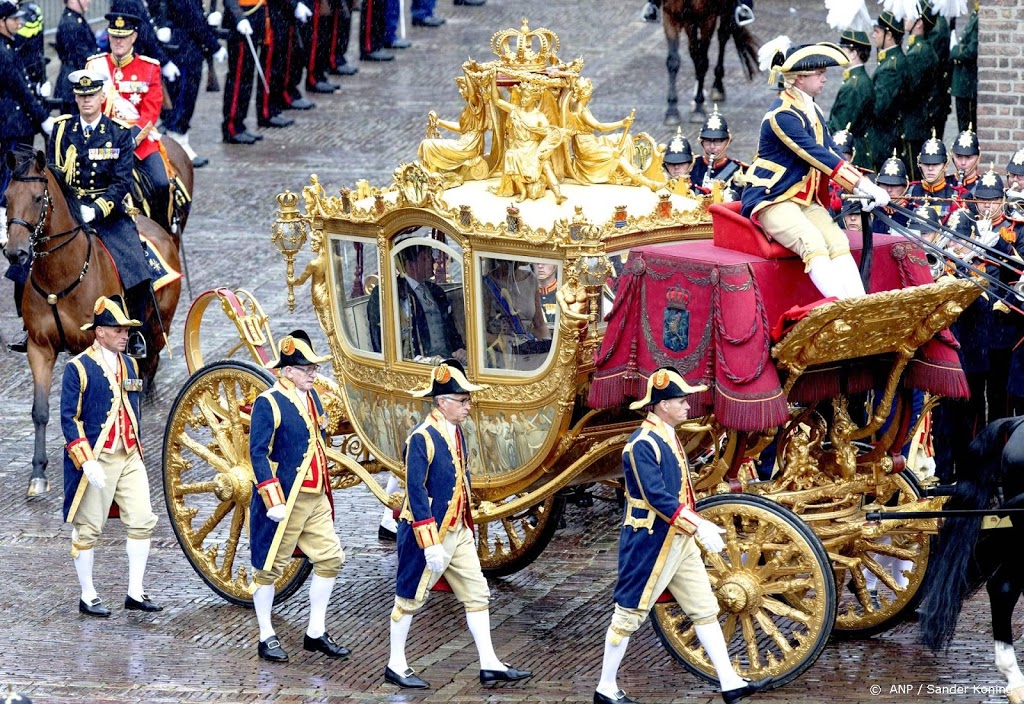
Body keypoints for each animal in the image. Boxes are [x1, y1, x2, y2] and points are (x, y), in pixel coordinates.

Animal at [3, 149, 182, 495]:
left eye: (37, 198)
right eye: (6, 197)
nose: (15, 253)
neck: (61, 275)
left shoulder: (92, 346)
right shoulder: (39, 349)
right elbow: (41, 411)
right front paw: (38, 474)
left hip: (157, 330)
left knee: (145, 372)